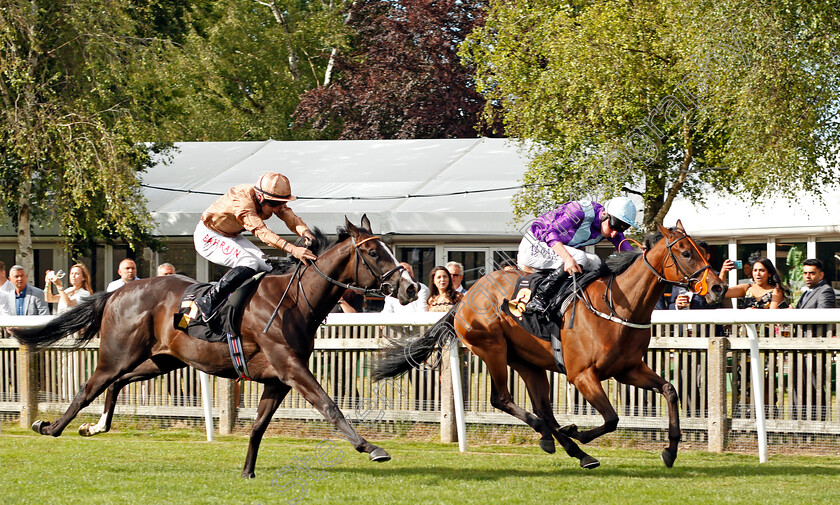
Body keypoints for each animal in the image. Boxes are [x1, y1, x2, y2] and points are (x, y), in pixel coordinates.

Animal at [11, 216, 418, 476]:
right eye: (375, 253)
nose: (411, 287)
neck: (294, 300)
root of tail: (116, 292)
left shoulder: (277, 380)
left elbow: (258, 427)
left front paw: (247, 472)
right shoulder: (291, 368)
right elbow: (330, 406)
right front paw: (372, 448)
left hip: (162, 360)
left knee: (116, 384)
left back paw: (95, 427)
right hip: (117, 354)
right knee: (89, 388)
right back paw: (50, 427)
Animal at [370, 220, 724, 468]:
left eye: (704, 251)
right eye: (686, 252)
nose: (718, 287)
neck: (617, 305)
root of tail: (465, 296)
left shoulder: (628, 369)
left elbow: (670, 390)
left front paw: (671, 450)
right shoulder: (582, 375)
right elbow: (611, 418)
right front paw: (577, 431)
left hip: (527, 362)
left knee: (542, 408)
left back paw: (564, 445)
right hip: (492, 348)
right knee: (503, 399)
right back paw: (562, 440)